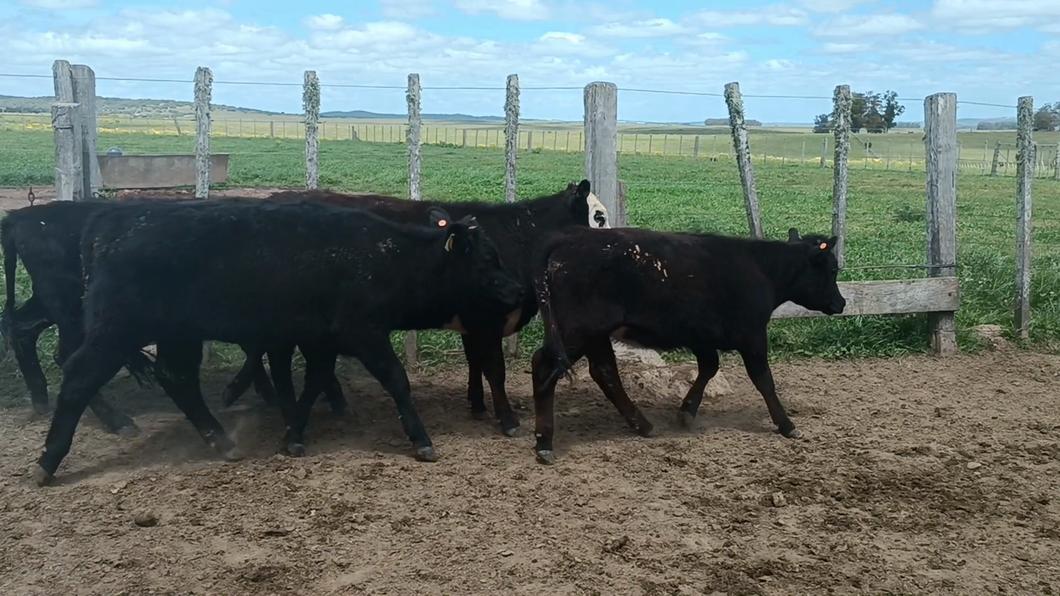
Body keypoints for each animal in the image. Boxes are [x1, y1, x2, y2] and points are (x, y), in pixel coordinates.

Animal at [35, 197, 523, 485]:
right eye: (486, 260)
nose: (517, 291)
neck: (385, 258)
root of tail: (110, 220)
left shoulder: (322, 339)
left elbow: (314, 383)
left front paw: (294, 435)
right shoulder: (364, 333)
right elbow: (396, 381)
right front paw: (421, 439)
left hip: (178, 334)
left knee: (178, 379)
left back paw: (222, 441)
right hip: (116, 329)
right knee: (79, 377)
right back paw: (49, 460)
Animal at [224, 178, 610, 434]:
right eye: (599, 217)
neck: (515, 237)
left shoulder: (472, 325)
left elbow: (475, 363)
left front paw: (477, 405)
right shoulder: (486, 322)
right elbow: (494, 370)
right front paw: (508, 420)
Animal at [530, 224, 843, 462]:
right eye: (832, 271)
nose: (841, 303)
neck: (760, 269)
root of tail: (567, 241)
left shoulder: (701, 335)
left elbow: (709, 367)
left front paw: (687, 412)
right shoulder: (752, 335)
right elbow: (763, 380)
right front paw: (787, 424)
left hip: (595, 336)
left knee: (605, 373)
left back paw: (643, 425)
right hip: (577, 332)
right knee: (545, 367)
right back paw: (544, 442)